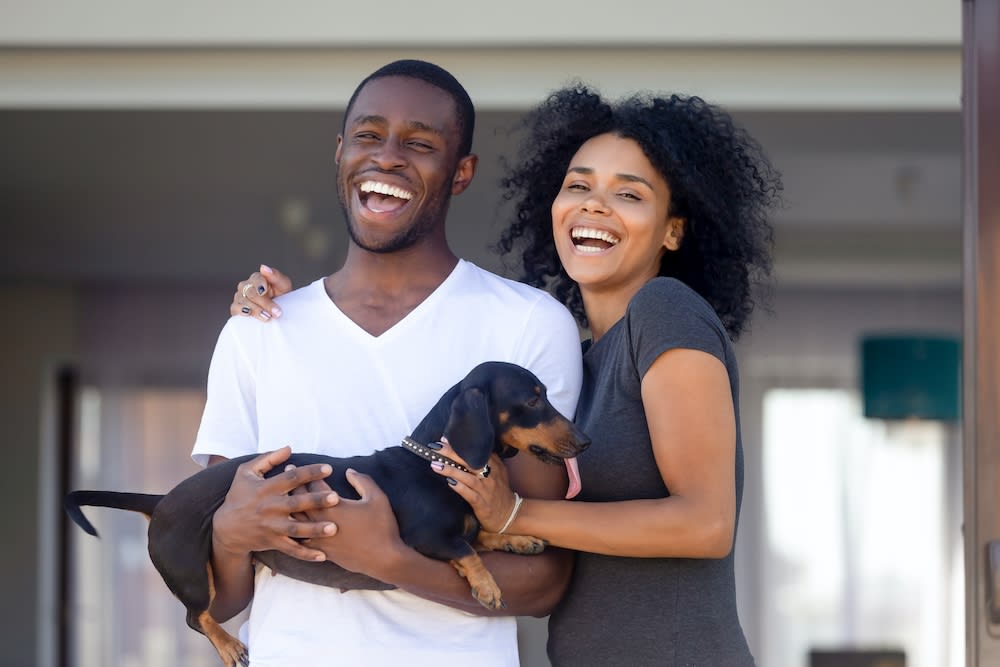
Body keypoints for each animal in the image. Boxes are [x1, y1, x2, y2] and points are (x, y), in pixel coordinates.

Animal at [66, 362, 588, 667]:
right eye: (534, 398)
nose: (584, 441)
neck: (435, 464)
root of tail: (161, 501)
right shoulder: (423, 539)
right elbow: (467, 549)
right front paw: (488, 585)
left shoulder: (458, 529)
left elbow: (481, 536)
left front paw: (519, 539)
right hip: (192, 571)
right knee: (196, 617)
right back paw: (229, 646)